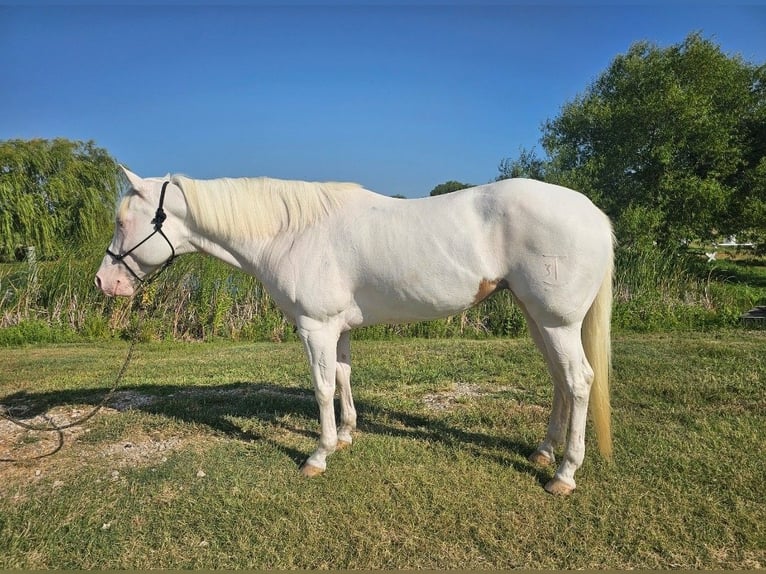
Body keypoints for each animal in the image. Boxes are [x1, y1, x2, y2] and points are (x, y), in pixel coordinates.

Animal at [95, 166, 614, 495]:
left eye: (122, 221)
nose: (105, 282)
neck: (291, 232)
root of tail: (594, 214)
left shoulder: (315, 327)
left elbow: (322, 387)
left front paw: (318, 455)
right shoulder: (338, 329)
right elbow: (344, 377)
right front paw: (346, 436)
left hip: (557, 321)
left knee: (579, 381)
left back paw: (564, 474)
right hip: (538, 317)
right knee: (560, 381)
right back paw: (544, 452)